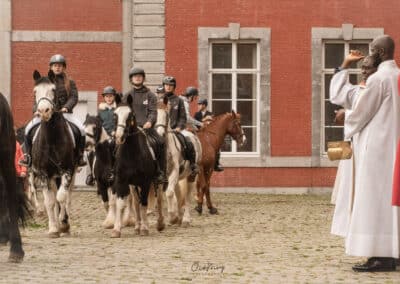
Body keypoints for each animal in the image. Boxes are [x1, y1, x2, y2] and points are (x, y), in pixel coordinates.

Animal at [29, 70, 78, 237]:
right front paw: (53, 228)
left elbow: (61, 197)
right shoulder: (44, 173)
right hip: (51, 177)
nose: (43, 111)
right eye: (35, 91)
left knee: (67, 197)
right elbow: (50, 202)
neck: (52, 139)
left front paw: (64, 225)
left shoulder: (67, 170)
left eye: (53, 89)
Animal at [111, 102, 164, 237]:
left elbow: (144, 203)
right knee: (135, 202)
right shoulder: (121, 181)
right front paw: (116, 229)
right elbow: (121, 204)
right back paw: (137, 226)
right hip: (133, 185)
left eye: (130, 116)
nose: (119, 136)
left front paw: (145, 228)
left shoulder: (145, 182)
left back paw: (160, 224)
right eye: (115, 115)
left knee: (159, 199)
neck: (131, 153)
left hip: (157, 181)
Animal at [155, 98, 202, 227]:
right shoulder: (160, 177)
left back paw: (185, 219)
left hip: (191, 176)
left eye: (166, 115)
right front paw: (162, 221)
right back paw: (180, 217)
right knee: (178, 193)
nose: (159, 134)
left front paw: (172, 217)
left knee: (187, 197)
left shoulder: (174, 172)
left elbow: (169, 193)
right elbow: (160, 197)